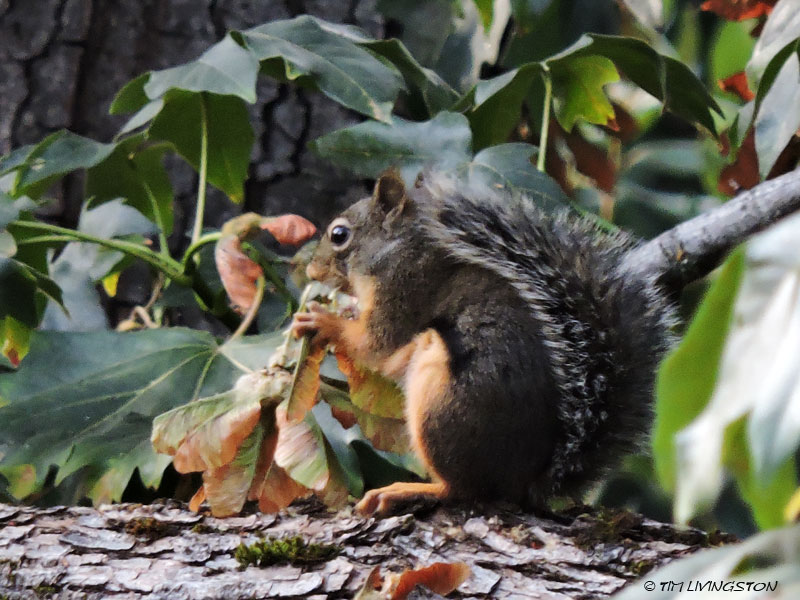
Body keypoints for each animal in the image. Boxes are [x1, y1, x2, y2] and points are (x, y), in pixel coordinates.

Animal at [292, 168, 675, 516]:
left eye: (339, 234)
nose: (311, 272)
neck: (398, 247)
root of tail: (526, 482)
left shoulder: (405, 290)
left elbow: (375, 343)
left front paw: (323, 321)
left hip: (443, 409)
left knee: (463, 490)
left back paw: (407, 490)